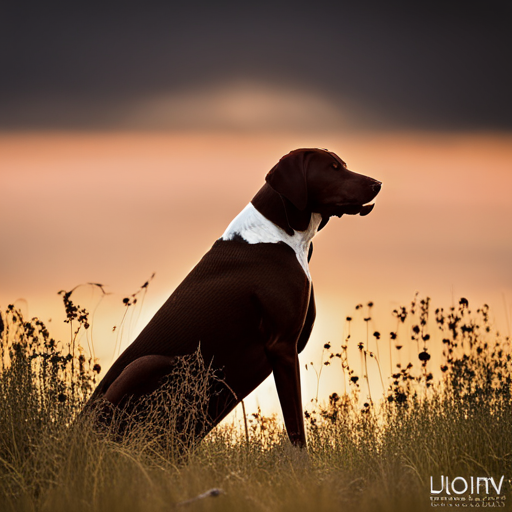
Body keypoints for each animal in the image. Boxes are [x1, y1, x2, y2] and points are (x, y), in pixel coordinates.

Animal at [85, 147, 380, 448]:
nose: (377, 184)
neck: (278, 232)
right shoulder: (283, 347)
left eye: (343, 164)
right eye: (332, 168)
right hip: (147, 365)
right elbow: (296, 429)